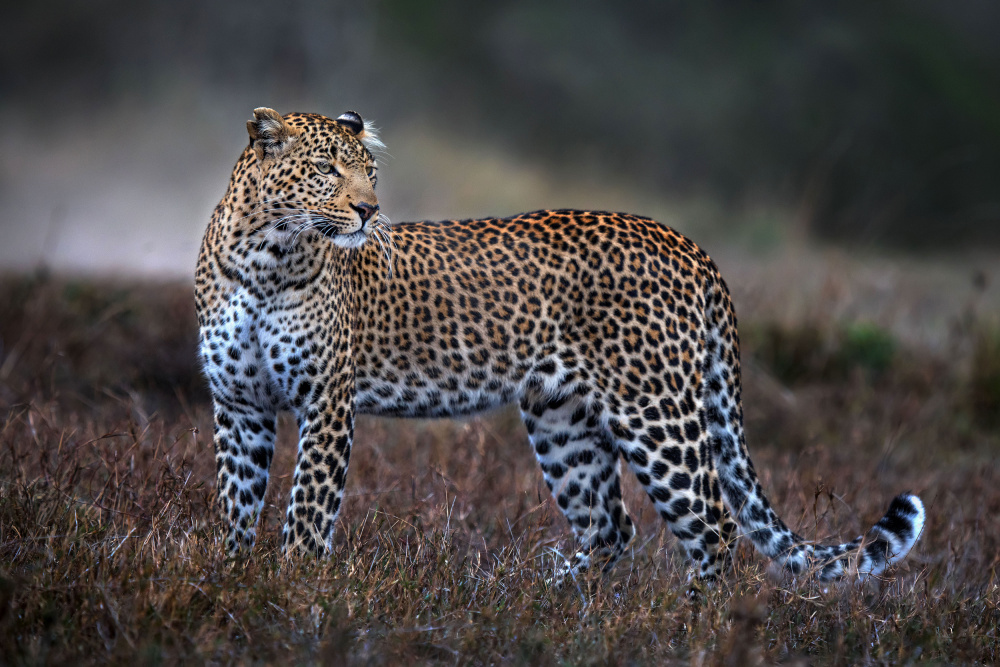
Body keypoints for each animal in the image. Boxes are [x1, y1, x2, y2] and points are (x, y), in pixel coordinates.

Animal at [191, 109, 924, 584]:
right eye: (326, 169)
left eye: (369, 171)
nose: (369, 211)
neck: (266, 257)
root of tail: (689, 243)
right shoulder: (239, 403)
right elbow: (237, 501)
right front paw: (229, 581)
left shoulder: (325, 401)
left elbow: (307, 513)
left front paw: (294, 591)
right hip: (562, 419)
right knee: (612, 527)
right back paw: (558, 600)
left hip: (655, 409)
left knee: (713, 524)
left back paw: (692, 627)